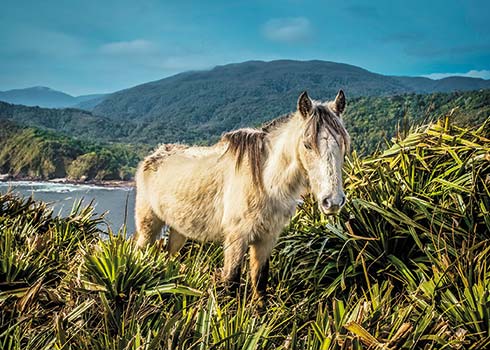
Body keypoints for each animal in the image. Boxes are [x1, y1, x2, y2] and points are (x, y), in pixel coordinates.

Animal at [133, 90, 348, 308]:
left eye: (341, 144)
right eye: (307, 145)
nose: (332, 201)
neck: (264, 180)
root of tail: (153, 155)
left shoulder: (266, 239)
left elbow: (260, 283)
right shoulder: (236, 239)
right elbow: (231, 283)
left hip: (179, 230)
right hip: (148, 227)